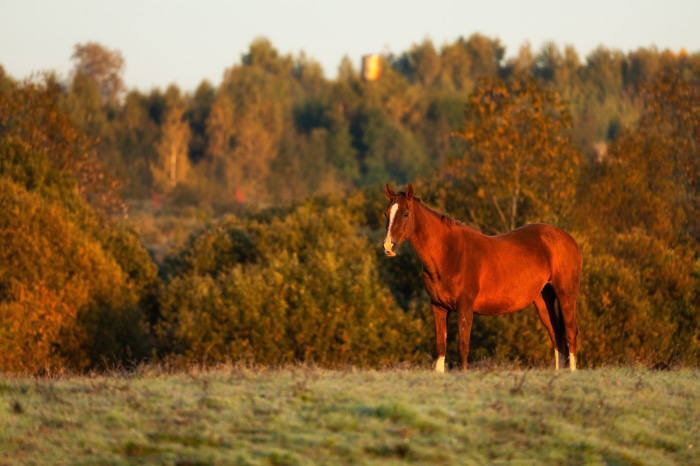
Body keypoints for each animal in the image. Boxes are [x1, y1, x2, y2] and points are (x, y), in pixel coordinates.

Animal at [383, 183, 582, 372]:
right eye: (386, 214)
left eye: (406, 214)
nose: (388, 247)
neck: (449, 252)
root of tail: (569, 239)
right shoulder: (438, 307)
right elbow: (440, 347)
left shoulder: (465, 307)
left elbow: (463, 346)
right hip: (543, 300)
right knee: (556, 335)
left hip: (566, 294)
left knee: (570, 332)